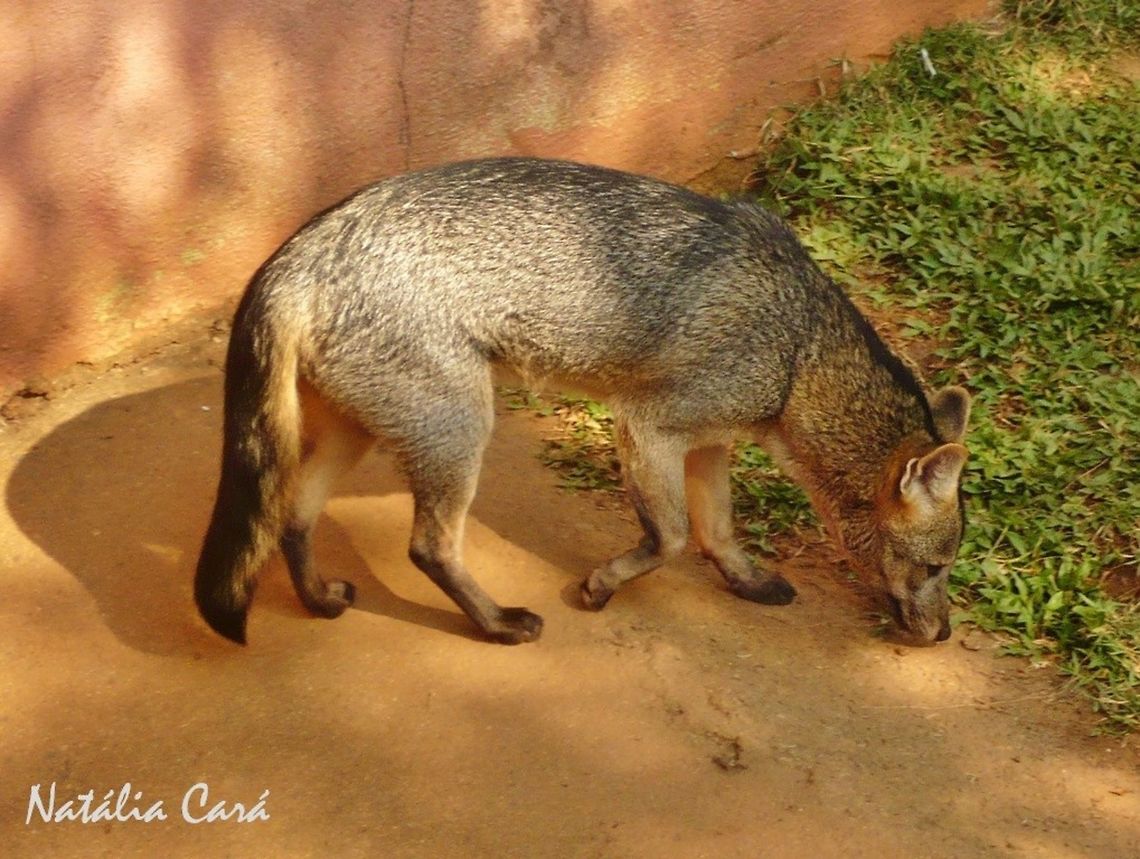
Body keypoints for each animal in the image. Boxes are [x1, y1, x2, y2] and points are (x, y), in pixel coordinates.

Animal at [194, 157, 971, 647]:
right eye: (936, 569)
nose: (944, 634)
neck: (799, 344)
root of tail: (298, 255)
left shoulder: (712, 436)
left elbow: (718, 529)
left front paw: (746, 580)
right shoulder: (650, 424)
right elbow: (672, 536)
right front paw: (603, 585)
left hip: (359, 430)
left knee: (292, 516)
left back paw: (320, 598)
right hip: (459, 428)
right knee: (428, 546)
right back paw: (497, 625)